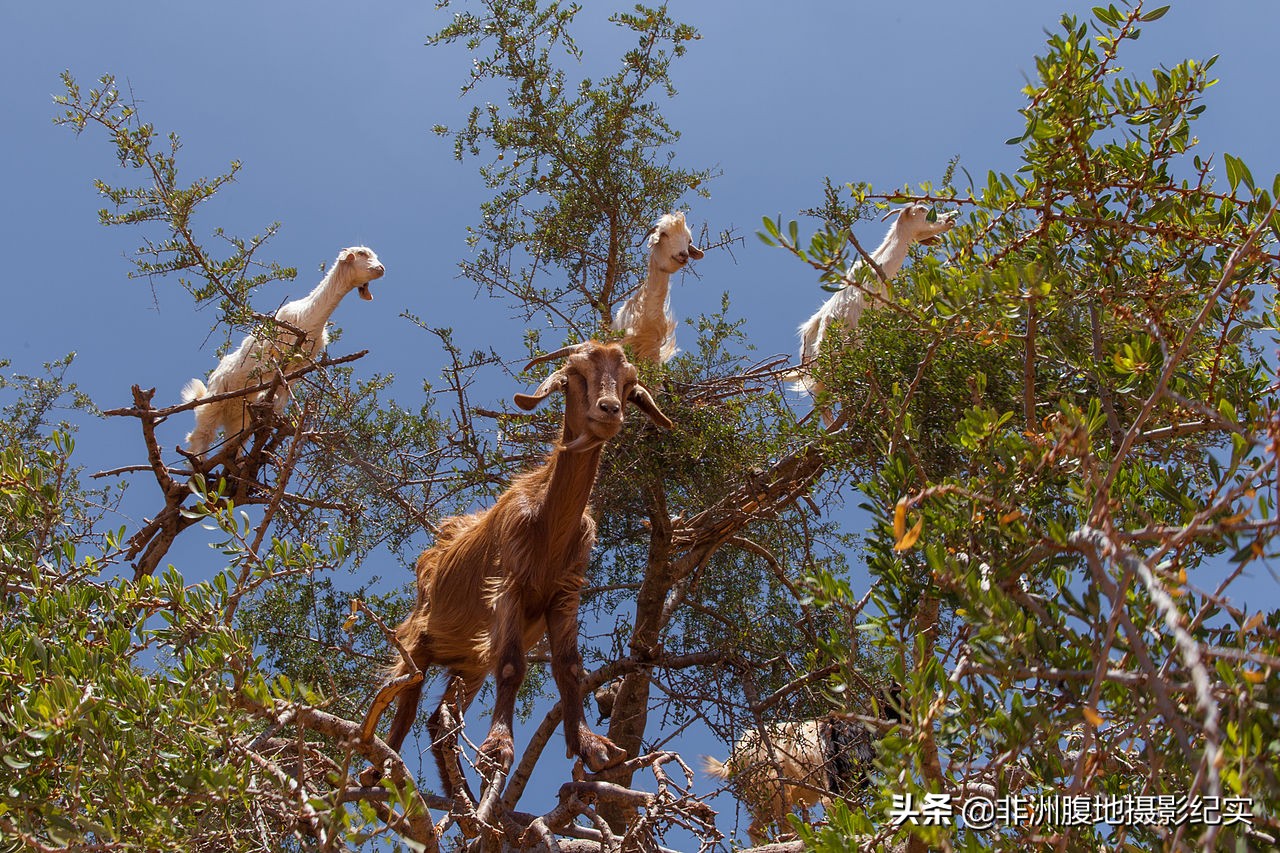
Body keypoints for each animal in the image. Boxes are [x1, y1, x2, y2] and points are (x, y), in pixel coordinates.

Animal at [183, 244, 384, 458]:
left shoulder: (297, 369)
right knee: (201, 434)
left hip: (238, 417)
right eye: (362, 254)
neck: (308, 317)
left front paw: (277, 416)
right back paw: (196, 463)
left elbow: (283, 397)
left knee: (233, 444)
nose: (381, 268)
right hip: (216, 397)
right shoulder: (273, 356)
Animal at [360, 340, 675, 804]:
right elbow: (511, 667)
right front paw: (498, 748)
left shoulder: (566, 592)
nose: (609, 409)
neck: (547, 524)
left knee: (440, 717)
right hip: (417, 638)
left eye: (628, 382)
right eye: (575, 374)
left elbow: (570, 666)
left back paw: (462, 795)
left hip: (468, 660)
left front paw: (590, 745)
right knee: (406, 698)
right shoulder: (507, 583)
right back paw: (381, 770)